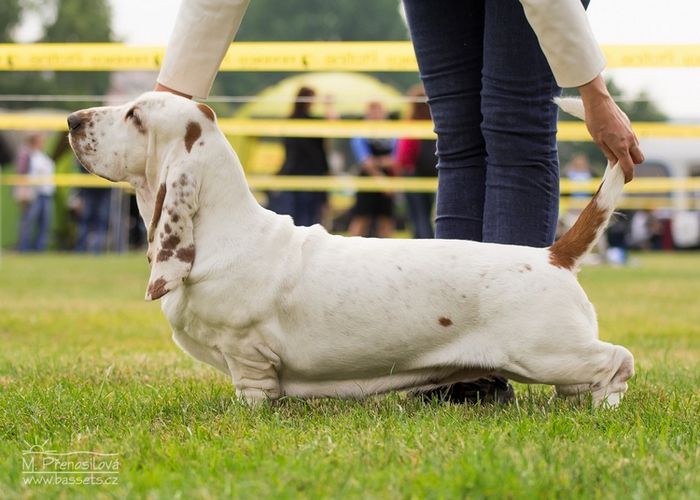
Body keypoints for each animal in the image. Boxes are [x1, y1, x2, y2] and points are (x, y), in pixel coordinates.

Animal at [69, 93, 636, 406]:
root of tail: (553, 255)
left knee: (619, 361)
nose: (73, 120)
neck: (223, 229)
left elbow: (253, 392)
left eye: (135, 116)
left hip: (546, 352)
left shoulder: (246, 351)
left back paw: (604, 406)